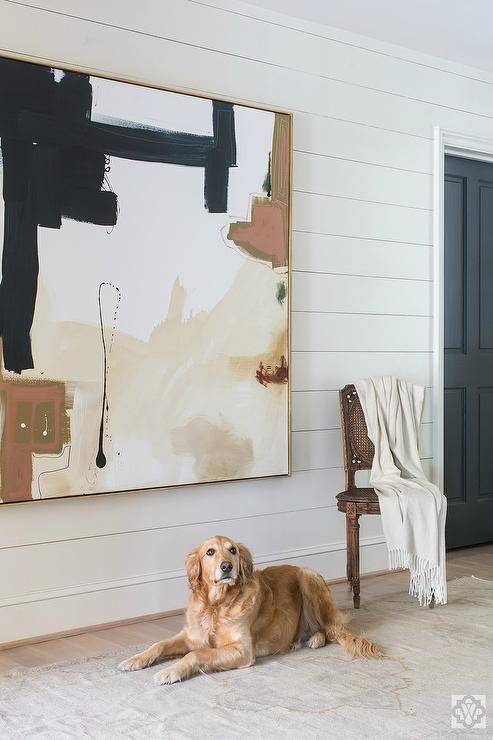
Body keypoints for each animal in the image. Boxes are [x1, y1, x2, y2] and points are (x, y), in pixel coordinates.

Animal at [118, 536, 380, 684]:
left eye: (232, 550)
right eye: (210, 552)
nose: (226, 567)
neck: (216, 606)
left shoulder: (242, 650)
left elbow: (196, 655)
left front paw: (170, 672)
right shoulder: (191, 636)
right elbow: (158, 644)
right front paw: (134, 660)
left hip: (308, 577)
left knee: (332, 630)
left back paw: (314, 639)